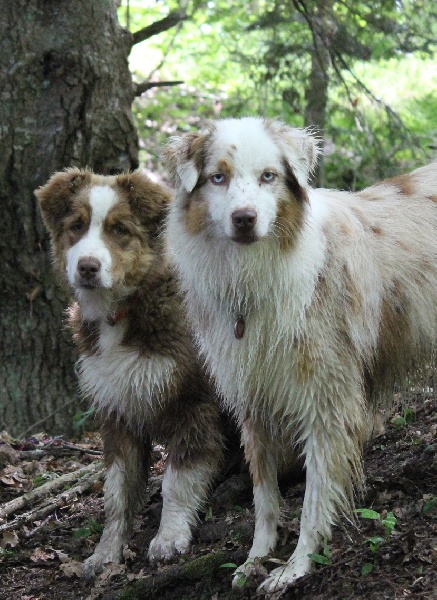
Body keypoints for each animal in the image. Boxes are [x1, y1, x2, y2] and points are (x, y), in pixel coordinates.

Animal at [37, 168, 227, 576]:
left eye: (120, 229)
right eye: (76, 226)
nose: (88, 267)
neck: (121, 313)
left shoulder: (195, 402)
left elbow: (177, 480)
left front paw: (169, 538)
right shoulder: (116, 410)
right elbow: (116, 492)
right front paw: (106, 552)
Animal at [163, 118, 436, 596]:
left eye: (268, 176)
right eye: (218, 177)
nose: (244, 219)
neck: (253, 277)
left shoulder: (327, 402)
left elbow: (313, 497)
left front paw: (296, 566)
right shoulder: (252, 400)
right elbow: (264, 497)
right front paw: (256, 558)